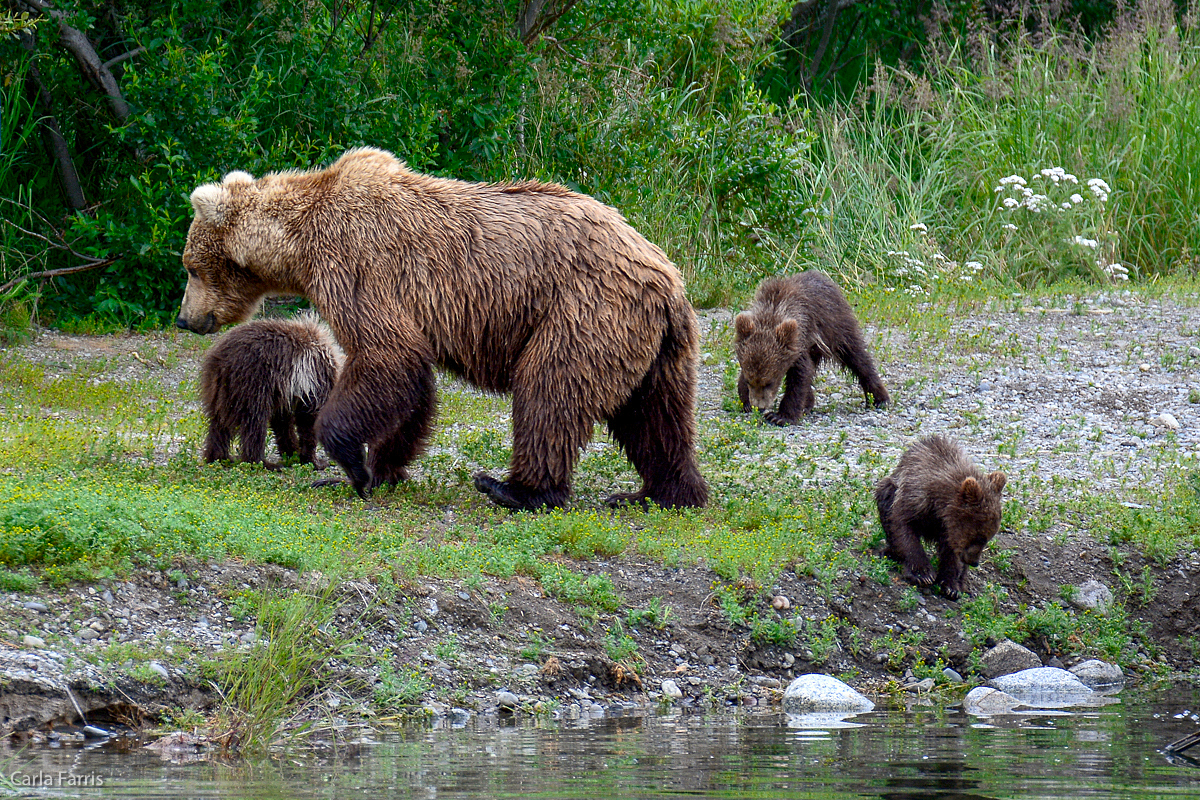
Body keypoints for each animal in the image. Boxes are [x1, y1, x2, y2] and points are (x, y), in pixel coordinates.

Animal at [174, 149, 705, 510]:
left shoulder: (358, 264)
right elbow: (411, 386)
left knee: (551, 391)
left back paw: (514, 488)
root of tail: (668, 277)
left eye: (191, 267)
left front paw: (350, 462)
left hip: (582, 311)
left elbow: (386, 356)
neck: (299, 241)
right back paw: (663, 492)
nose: (185, 318)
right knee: (656, 416)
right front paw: (377, 469)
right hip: (653, 341)